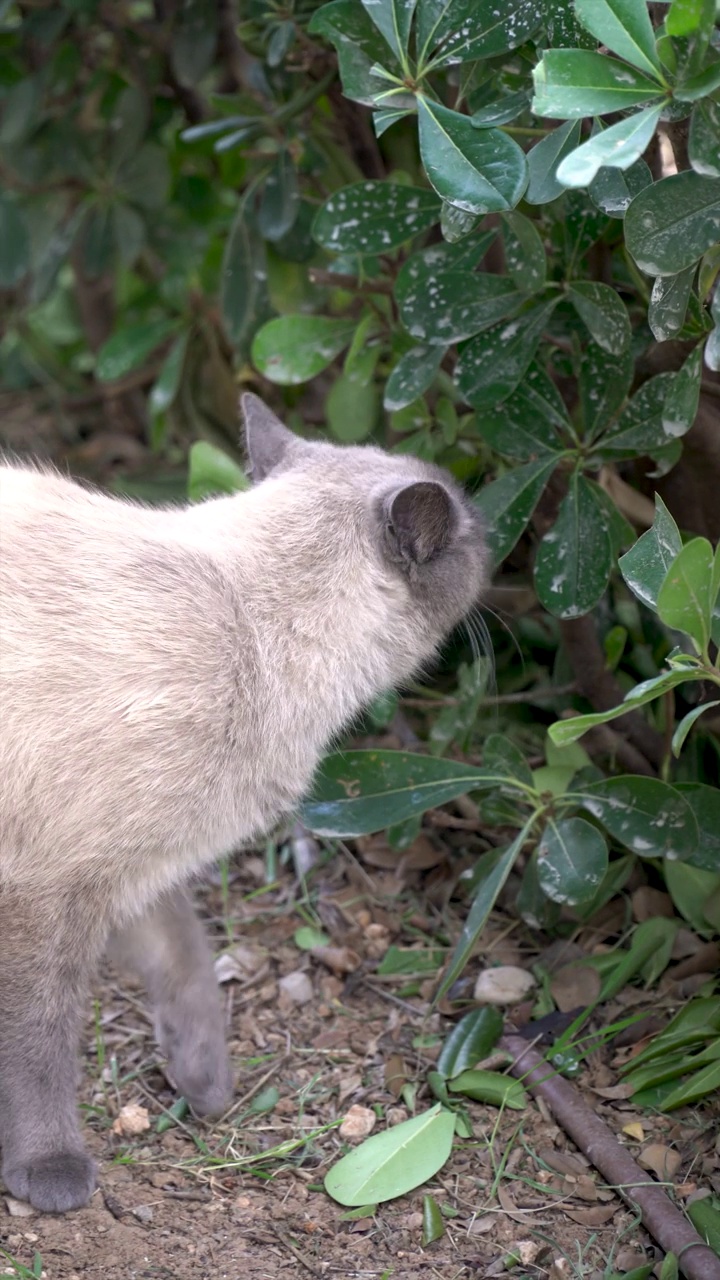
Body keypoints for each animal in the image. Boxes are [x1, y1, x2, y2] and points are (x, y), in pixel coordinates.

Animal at [0, 394, 484, 1213]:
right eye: (472, 528)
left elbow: (188, 964)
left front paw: (206, 1084)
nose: (492, 525)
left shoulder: (130, 871)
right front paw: (51, 1169)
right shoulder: (49, 887)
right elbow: (40, 1038)